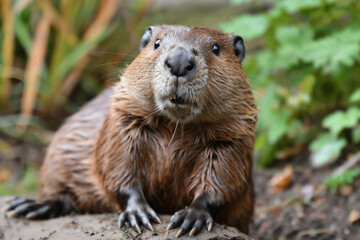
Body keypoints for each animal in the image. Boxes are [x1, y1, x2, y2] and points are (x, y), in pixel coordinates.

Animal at [2, 24, 256, 236]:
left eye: (216, 48)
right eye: (157, 43)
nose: (179, 62)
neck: (175, 129)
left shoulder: (233, 137)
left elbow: (225, 181)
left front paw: (192, 217)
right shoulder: (121, 123)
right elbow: (117, 168)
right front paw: (139, 214)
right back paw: (27, 206)